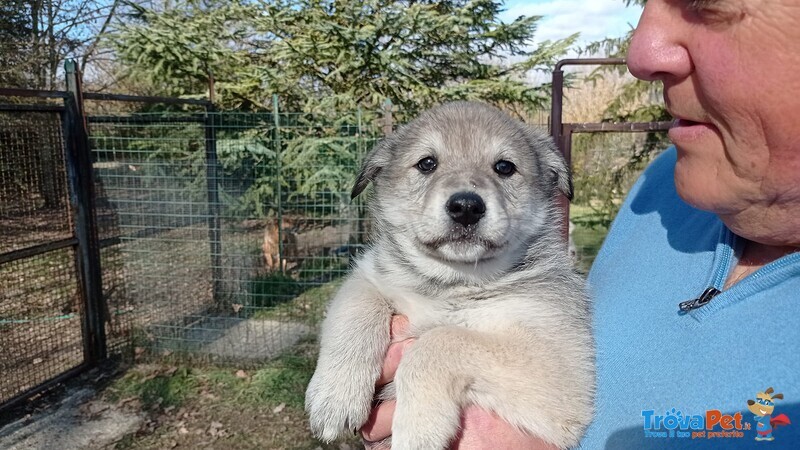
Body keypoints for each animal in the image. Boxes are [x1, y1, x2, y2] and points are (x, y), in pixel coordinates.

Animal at [306, 102, 592, 450]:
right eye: (427, 163)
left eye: (504, 167)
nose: (466, 207)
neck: (452, 284)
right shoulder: (370, 275)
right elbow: (355, 305)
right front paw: (334, 395)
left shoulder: (562, 370)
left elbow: (439, 341)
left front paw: (418, 430)